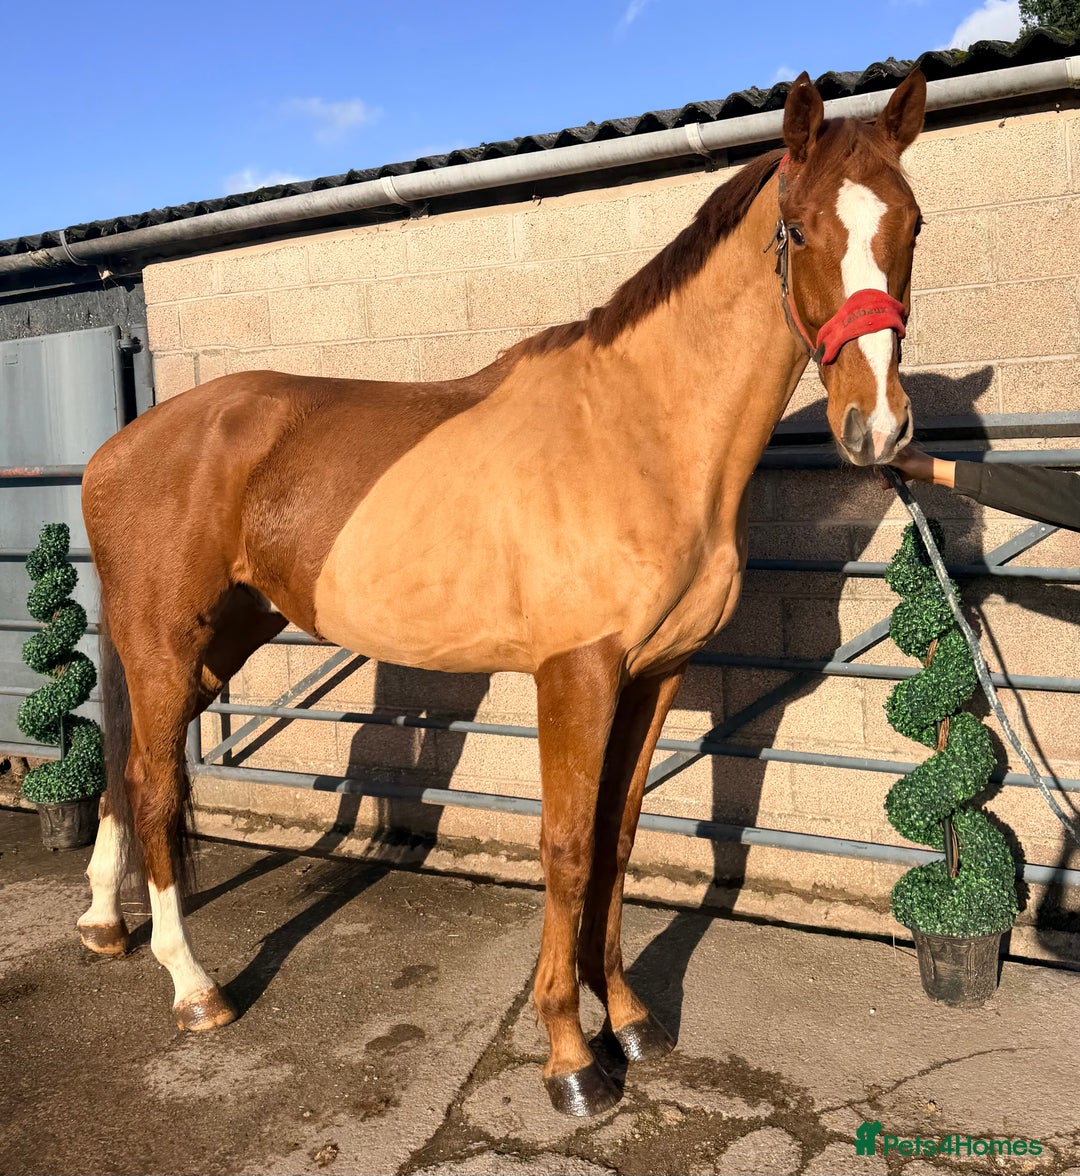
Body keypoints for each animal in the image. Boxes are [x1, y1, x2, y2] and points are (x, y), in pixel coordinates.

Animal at [75, 69, 926, 1116]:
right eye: (799, 230)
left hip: (212, 642)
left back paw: (103, 926)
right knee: (155, 783)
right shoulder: (576, 674)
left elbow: (618, 838)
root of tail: (119, 449)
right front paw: (570, 1056)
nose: (876, 425)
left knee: (125, 768)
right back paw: (194, 988)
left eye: (912, 225)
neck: (638, 434)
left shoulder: (658, 674)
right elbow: (565, 846)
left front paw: (628, 1020)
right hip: (163, 640)